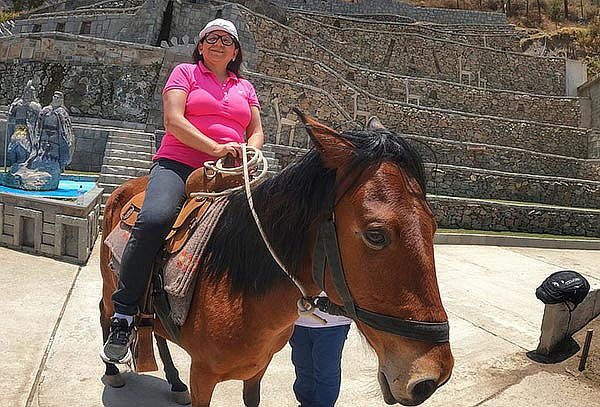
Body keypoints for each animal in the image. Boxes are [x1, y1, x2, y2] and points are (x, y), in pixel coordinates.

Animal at [99, 112, 454, 407]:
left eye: (433, 225)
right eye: (376, 235)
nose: (431, 376)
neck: (238, 289)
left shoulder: (259, 369)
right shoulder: (203, 375)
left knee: (157, 332)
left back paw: (174, 383)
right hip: (109, 283)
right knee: (107, 313)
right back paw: (113, 368)